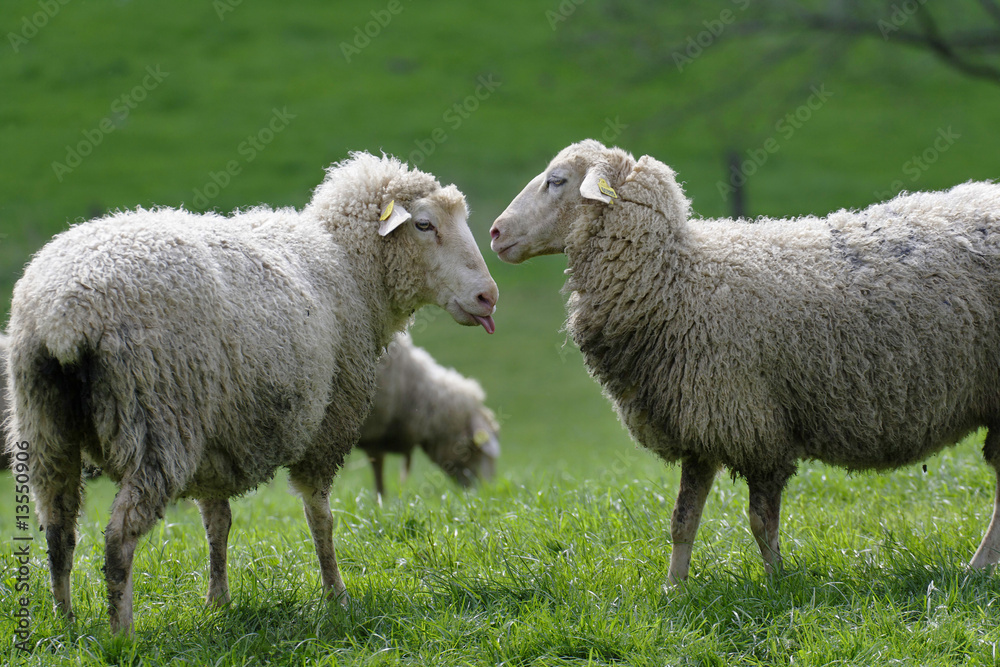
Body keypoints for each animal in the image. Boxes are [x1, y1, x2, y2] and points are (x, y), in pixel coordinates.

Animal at [489, 138, 1000, 583]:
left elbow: (760, 521)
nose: (494, 232)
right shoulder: (699, 425)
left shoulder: (755, 426)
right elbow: (682, 520)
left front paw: (778, 584)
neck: (678, 280)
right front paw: (674, 589)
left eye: (557, 180)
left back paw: (976, 569)